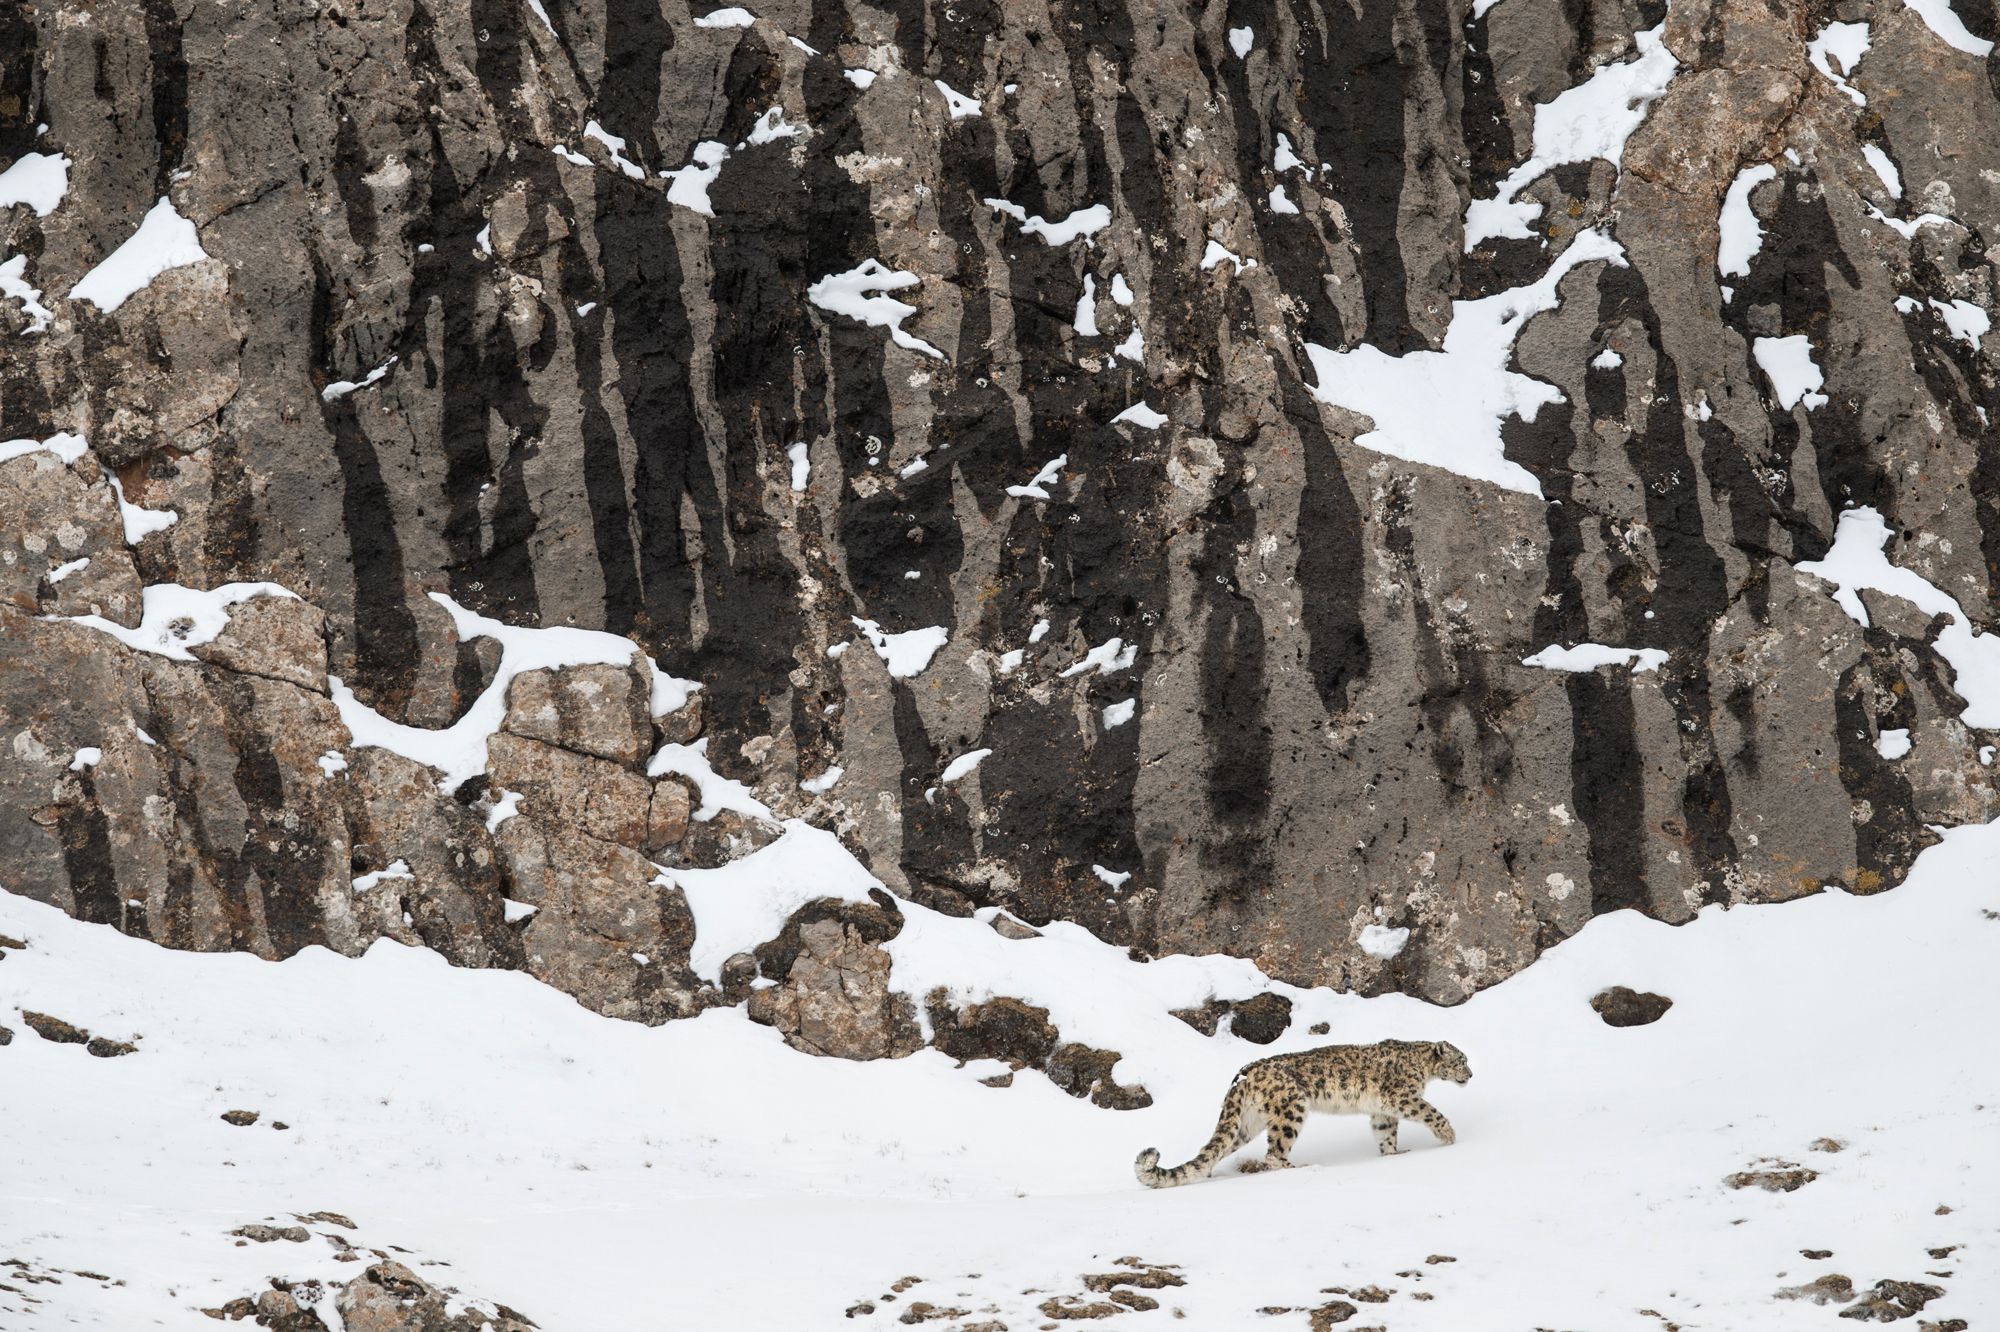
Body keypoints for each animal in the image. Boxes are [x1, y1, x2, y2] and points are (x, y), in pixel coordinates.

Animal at [1136, 1040, 1480, 1184]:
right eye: (1461, 1060)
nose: (1471, 1074)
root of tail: (1245, 1075)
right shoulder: (1402, 1096)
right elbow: (1431, 1111)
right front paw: (1449, 1135)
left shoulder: (1382, 1111)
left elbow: (1385, 1135)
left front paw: (1393, 1155)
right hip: (1291, 1109)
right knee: (1275, 1153)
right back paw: (1300, 1167)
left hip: (1247, 1124)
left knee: (1218, 1147)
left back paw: (1208, 1174)